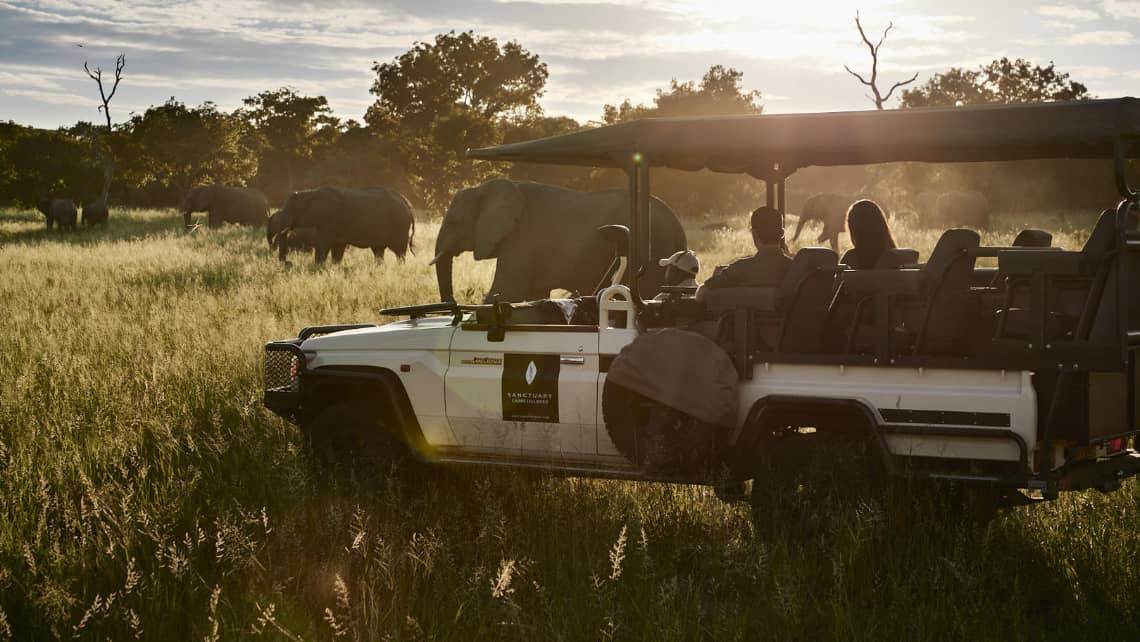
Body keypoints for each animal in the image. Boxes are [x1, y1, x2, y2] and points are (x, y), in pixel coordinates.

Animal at [270, 185, 414, 263]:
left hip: (399, 225)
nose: (289, 262)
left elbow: (323, 244)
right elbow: (337, 248)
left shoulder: (329, 219)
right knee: (378, 251)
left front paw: (318, 267)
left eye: (292, 209)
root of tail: (407, 202)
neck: (310, 192)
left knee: (399, 252)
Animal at [433, 177, 684, 303]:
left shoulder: (522, 239)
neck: (482, 188)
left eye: (453, 221)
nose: (451, 306)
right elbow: (533, 296)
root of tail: (676, 223)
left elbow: (505, 292)